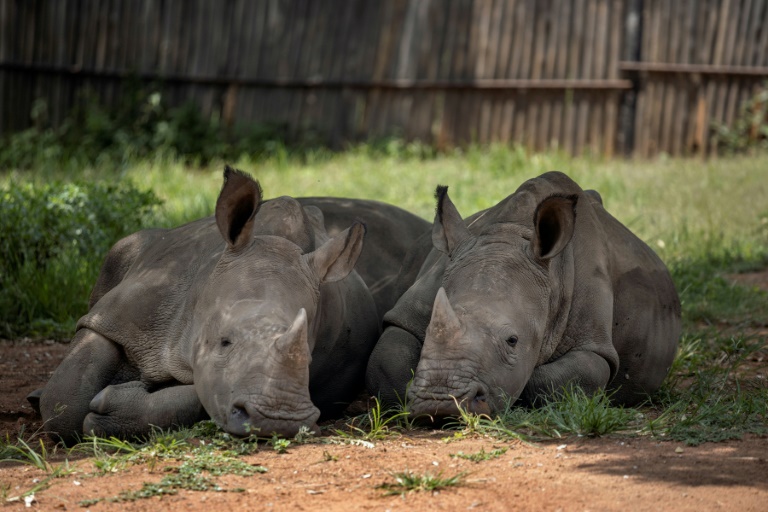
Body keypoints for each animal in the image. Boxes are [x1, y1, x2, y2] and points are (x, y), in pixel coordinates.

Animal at [39, 167, 428, 444]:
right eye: (223, 342)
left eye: (307, 355)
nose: (278, 419)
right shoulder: (123, 314)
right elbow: (65, 402)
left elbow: (204, 394)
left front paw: (113, 406)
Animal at [366, 170, 680, 418]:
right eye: (431, 325)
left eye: (513, 341)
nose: (440, 404)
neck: (511, 233)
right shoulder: (411, 309)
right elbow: (391, 358)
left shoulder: (593, 344)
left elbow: (552, 380)